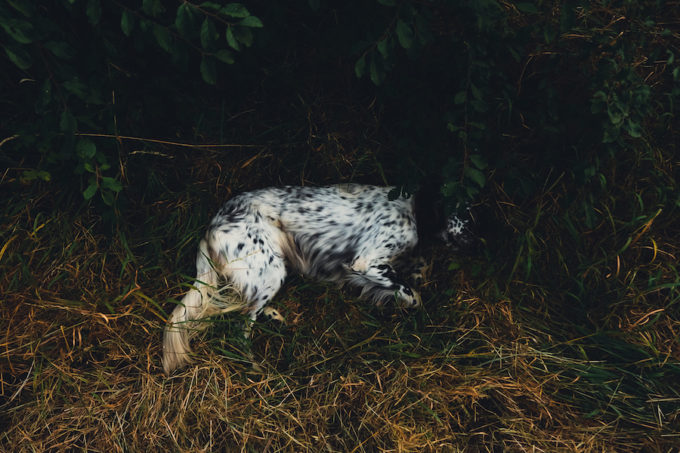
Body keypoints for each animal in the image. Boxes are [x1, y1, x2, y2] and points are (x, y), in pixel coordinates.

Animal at [162, 184, 477, 374]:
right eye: (465, 214)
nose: (479, 240)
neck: (412, 210)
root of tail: (212, 225)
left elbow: (416, 270)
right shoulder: (367, 262)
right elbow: (413, 295)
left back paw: (273, 316)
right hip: (270, 267)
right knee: (240, 325)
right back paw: (256, 365)